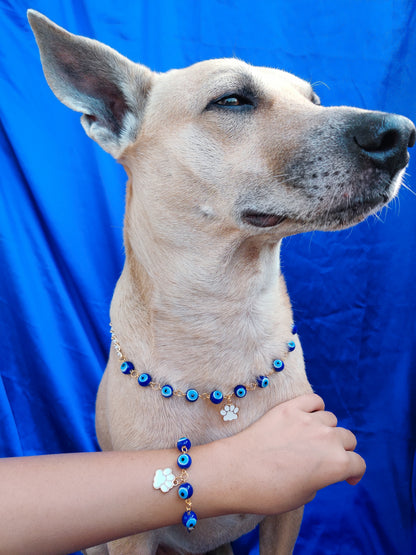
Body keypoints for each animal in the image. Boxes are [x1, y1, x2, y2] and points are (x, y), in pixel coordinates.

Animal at [27, 9, 414, 555]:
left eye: (313, 101)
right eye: (232, 100)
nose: (399, 134)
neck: (224, 313)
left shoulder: (288, 512)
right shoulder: (131, 535)